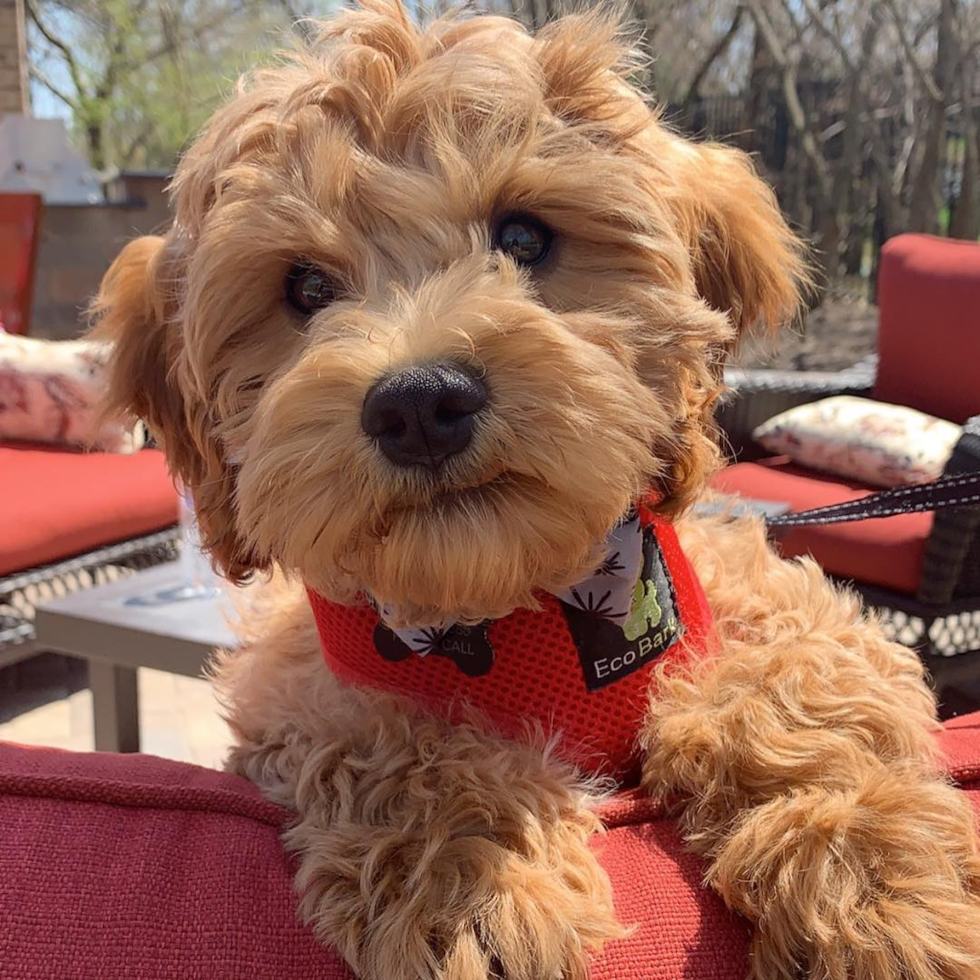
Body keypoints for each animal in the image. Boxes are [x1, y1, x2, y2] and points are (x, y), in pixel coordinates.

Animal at [92, 3, 980, 976]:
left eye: (525, 237)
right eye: (305, 286)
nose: (419, 403)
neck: (512, 601)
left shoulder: (758, 592)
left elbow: (796, 685)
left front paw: (884, 888)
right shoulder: (299, 681)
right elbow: (392, 733)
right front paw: (475, 884)